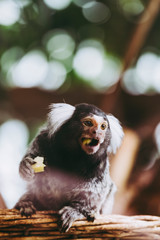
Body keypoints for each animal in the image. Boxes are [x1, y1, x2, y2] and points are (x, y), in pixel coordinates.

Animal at [14, 103, 124, 232]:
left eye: (103, 126)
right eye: (88, 123)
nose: (97, 132)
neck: (74, 155)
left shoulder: (101, 163)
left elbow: (96, 189)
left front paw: (76, 210)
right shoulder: (42, 139)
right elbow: (33, 159)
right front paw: (25, 166)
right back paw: (26, 203)